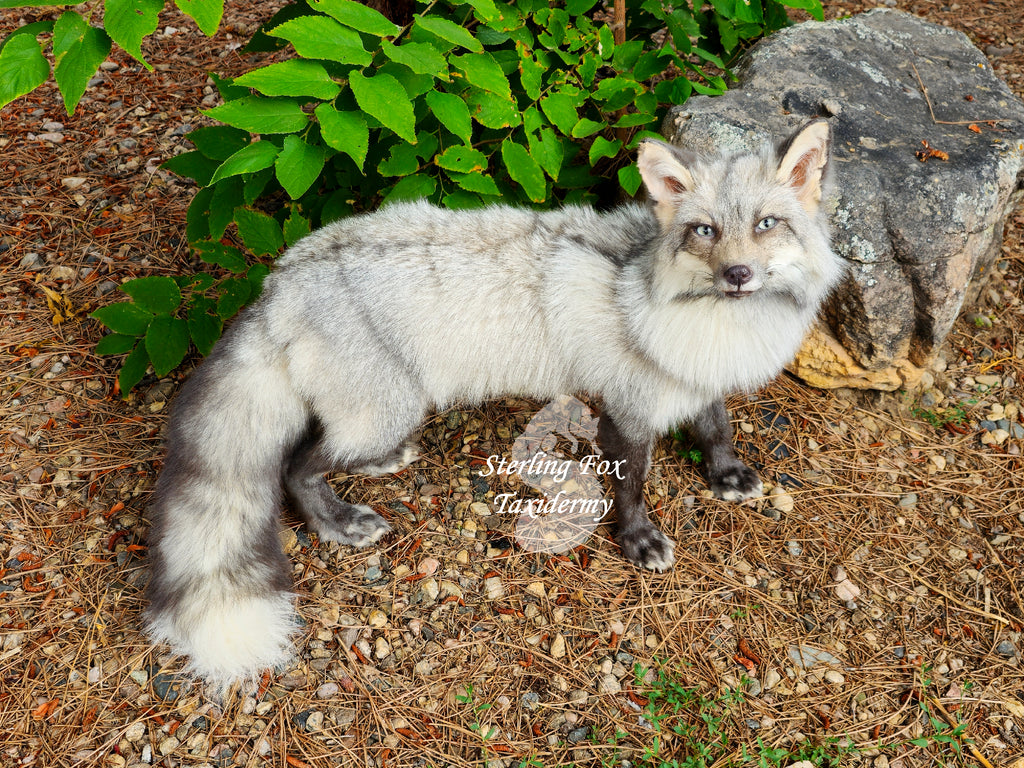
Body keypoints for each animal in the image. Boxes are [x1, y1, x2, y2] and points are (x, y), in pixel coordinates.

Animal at [145, 119, 844, 692]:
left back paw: (381, 466)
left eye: (767, 224)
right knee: (296, 467)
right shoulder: (630, 407)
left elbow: (715, 426)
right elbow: (633, 486)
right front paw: (638, 539)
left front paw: (725, 474)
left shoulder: (694, 380)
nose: (737, 276)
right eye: (704, 231)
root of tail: (280, 279)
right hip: (385, 409)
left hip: (375, 414)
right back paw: (337, 521)